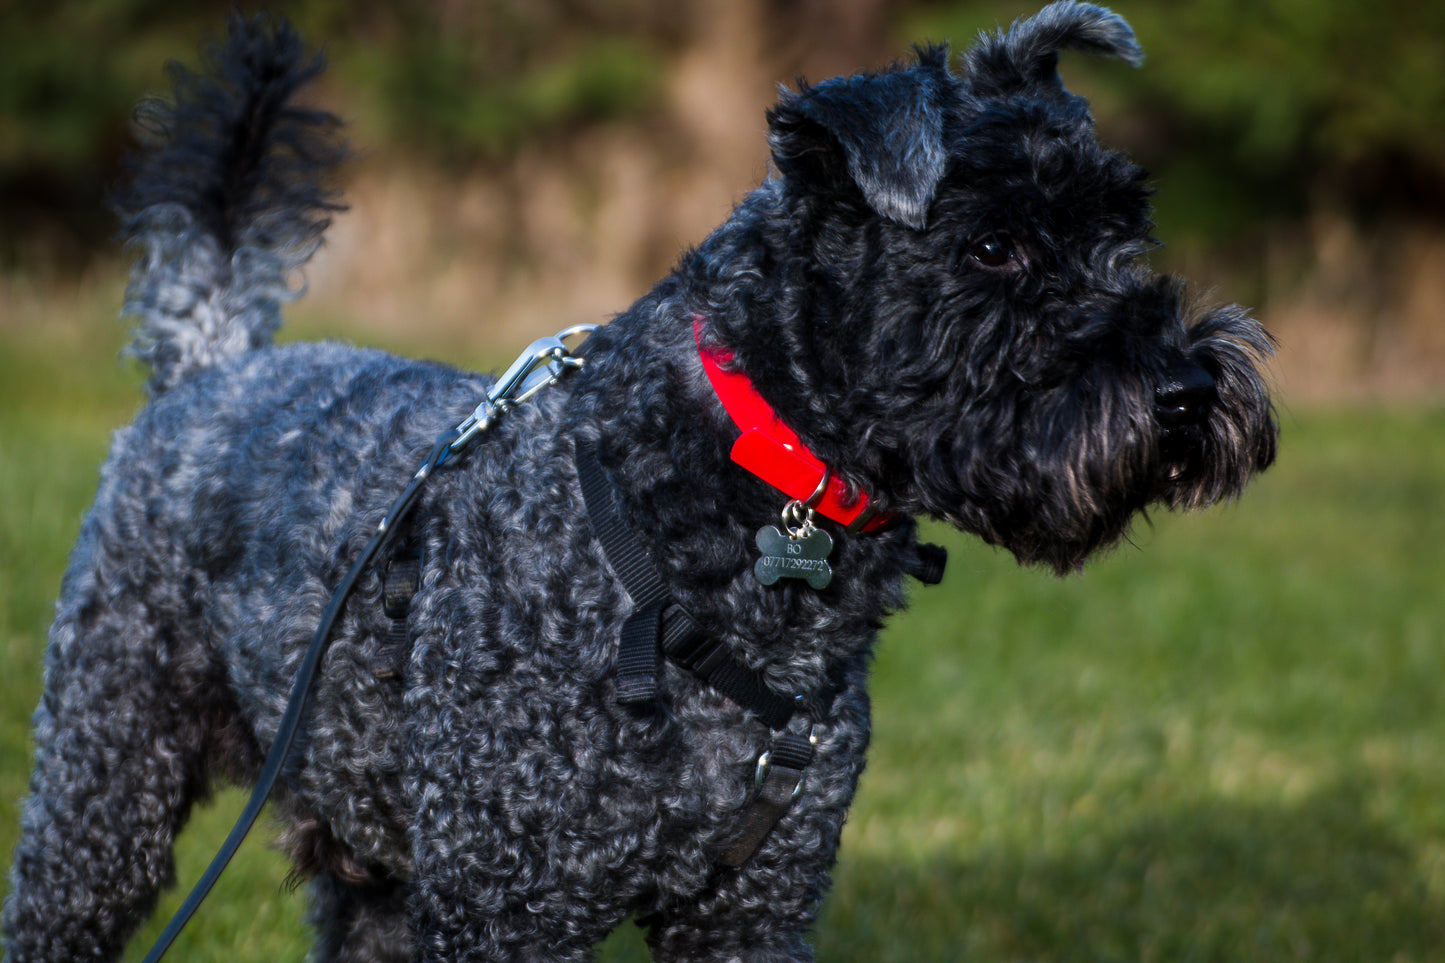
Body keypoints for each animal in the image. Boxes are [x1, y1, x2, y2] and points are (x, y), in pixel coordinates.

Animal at [8, 3, 1277, 954]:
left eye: (1120, 230)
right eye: (993, 245)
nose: (1183, 392)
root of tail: (208, 363)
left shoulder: (749, 908)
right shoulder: (513, 907)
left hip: (370, 871)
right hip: (102, 797)